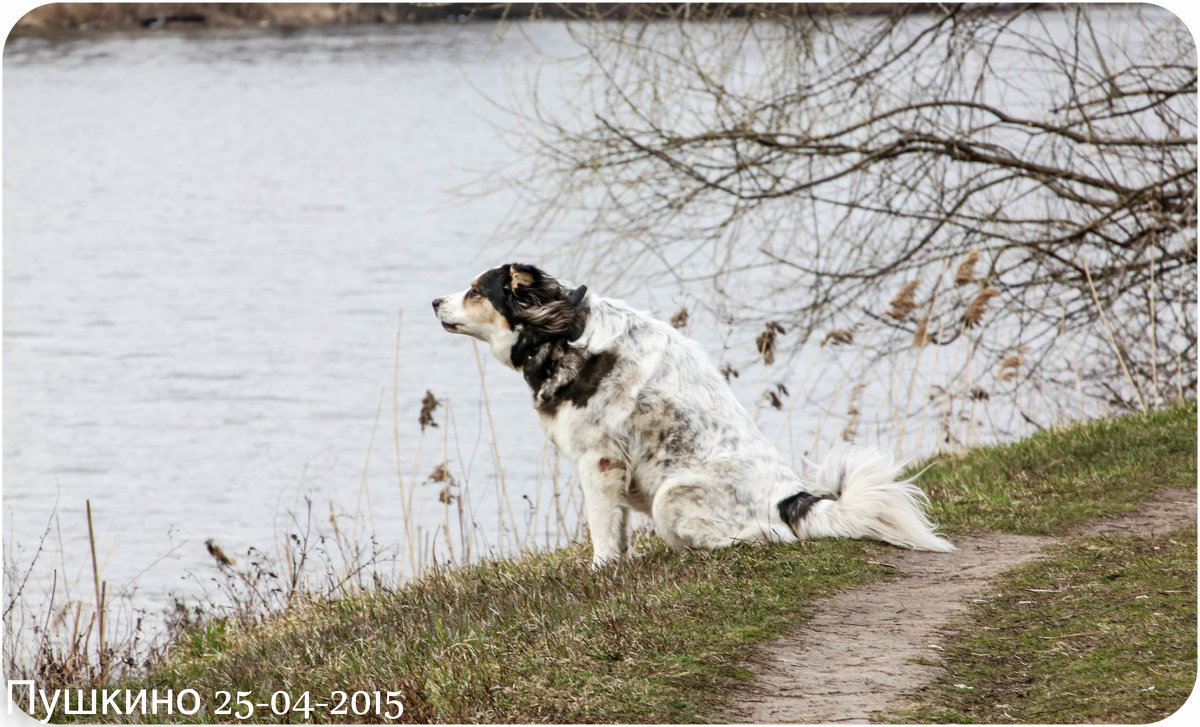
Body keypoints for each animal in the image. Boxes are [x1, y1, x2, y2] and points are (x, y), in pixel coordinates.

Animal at [434, 265, 955, 566]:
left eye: (477, 291)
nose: (435, 300)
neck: (562, 333)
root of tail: (793, 502)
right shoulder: (613, 471)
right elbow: (618, 528)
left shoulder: (598, 461)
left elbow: (601, 529)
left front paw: (601, 570)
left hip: (672, 498)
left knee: (762, 537)